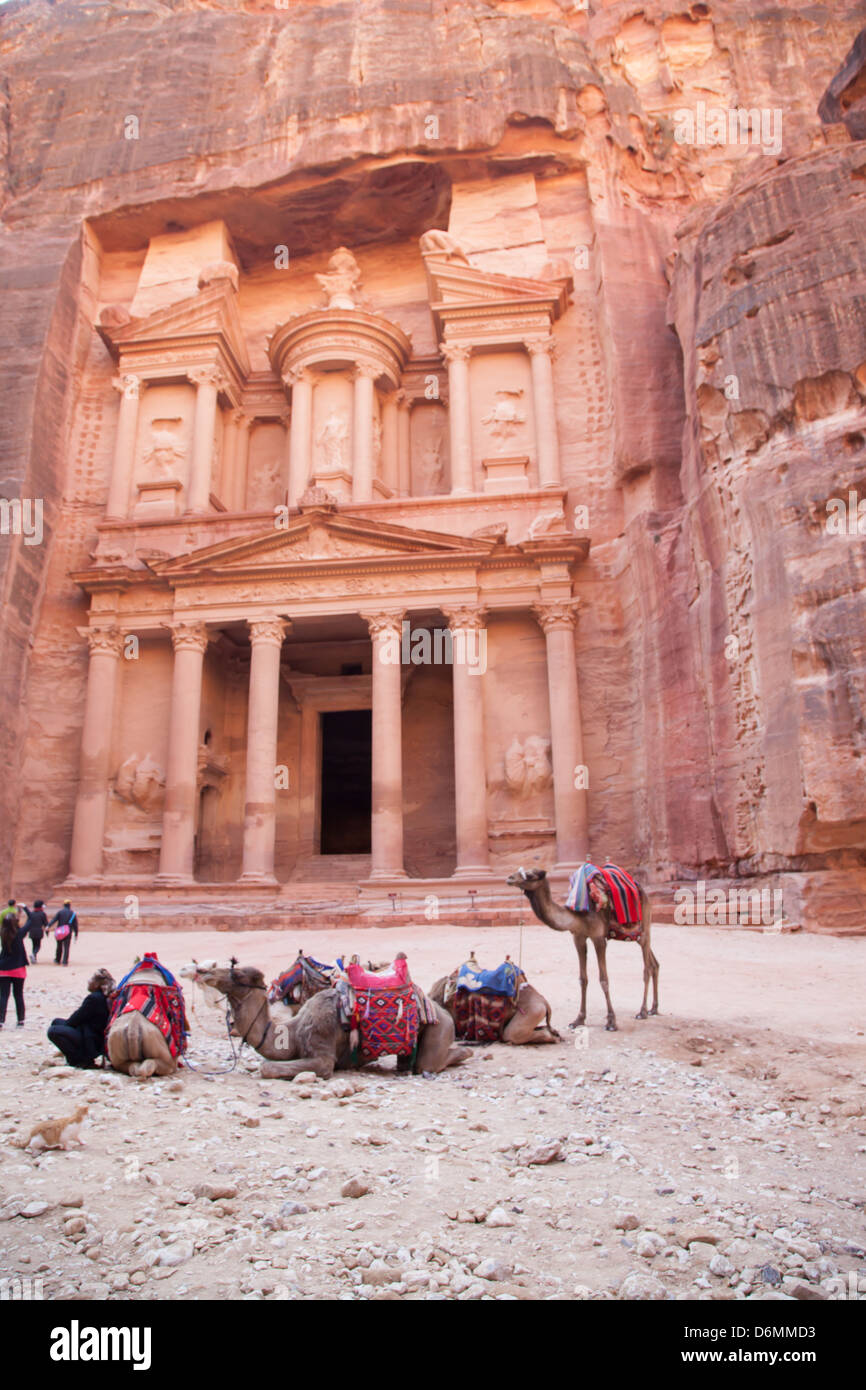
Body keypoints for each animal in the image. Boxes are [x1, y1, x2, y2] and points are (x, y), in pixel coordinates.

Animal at [505, 867, 661, 1034]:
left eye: (530, 875)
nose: (509, 878)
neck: (578, 915)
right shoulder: (578, 937)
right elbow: (583, 979)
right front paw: (578, 1020)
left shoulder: (599, 938)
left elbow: (604, 980)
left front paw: (611, 1022)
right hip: (636, 935)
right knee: (654, 964)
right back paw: (654, 1009)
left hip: (644, 926)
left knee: (646, 968)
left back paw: (642, 1012)